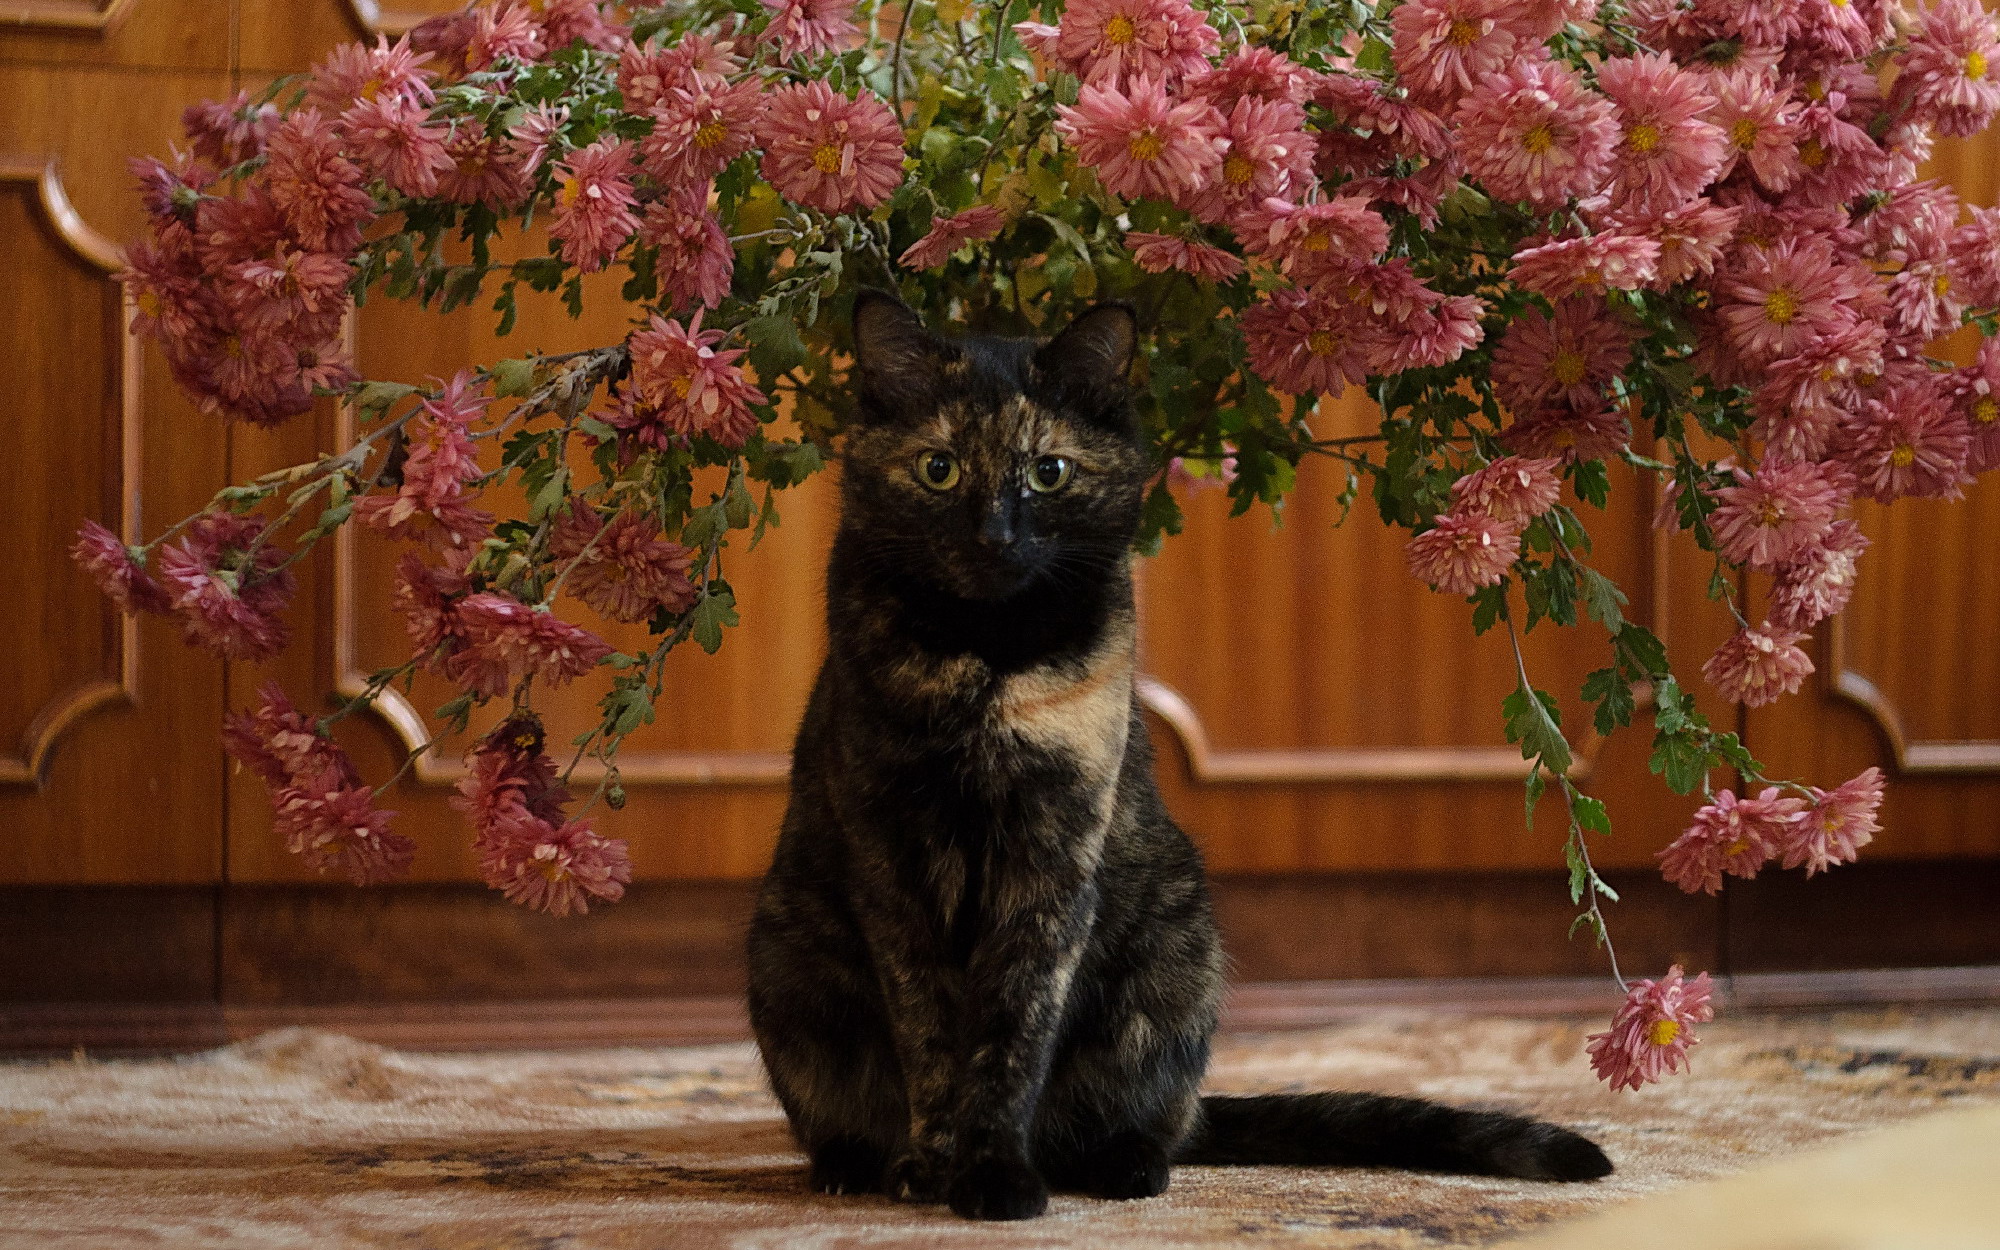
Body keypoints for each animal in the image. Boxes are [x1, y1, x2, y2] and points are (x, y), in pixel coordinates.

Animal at [744, 292, 1616, 1216]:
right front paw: (935, 1166)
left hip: (1175, 944)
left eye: (1048, 472)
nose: (994, 536)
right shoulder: (894, 864)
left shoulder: (1052, 863)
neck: (989, 659)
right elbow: (933, 1038)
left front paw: (995, 1175)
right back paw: (851, 1166)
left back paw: (1121, 1167)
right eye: (939, 469)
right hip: (786, 954)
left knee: (1143, 1119)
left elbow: (1013, 1032)